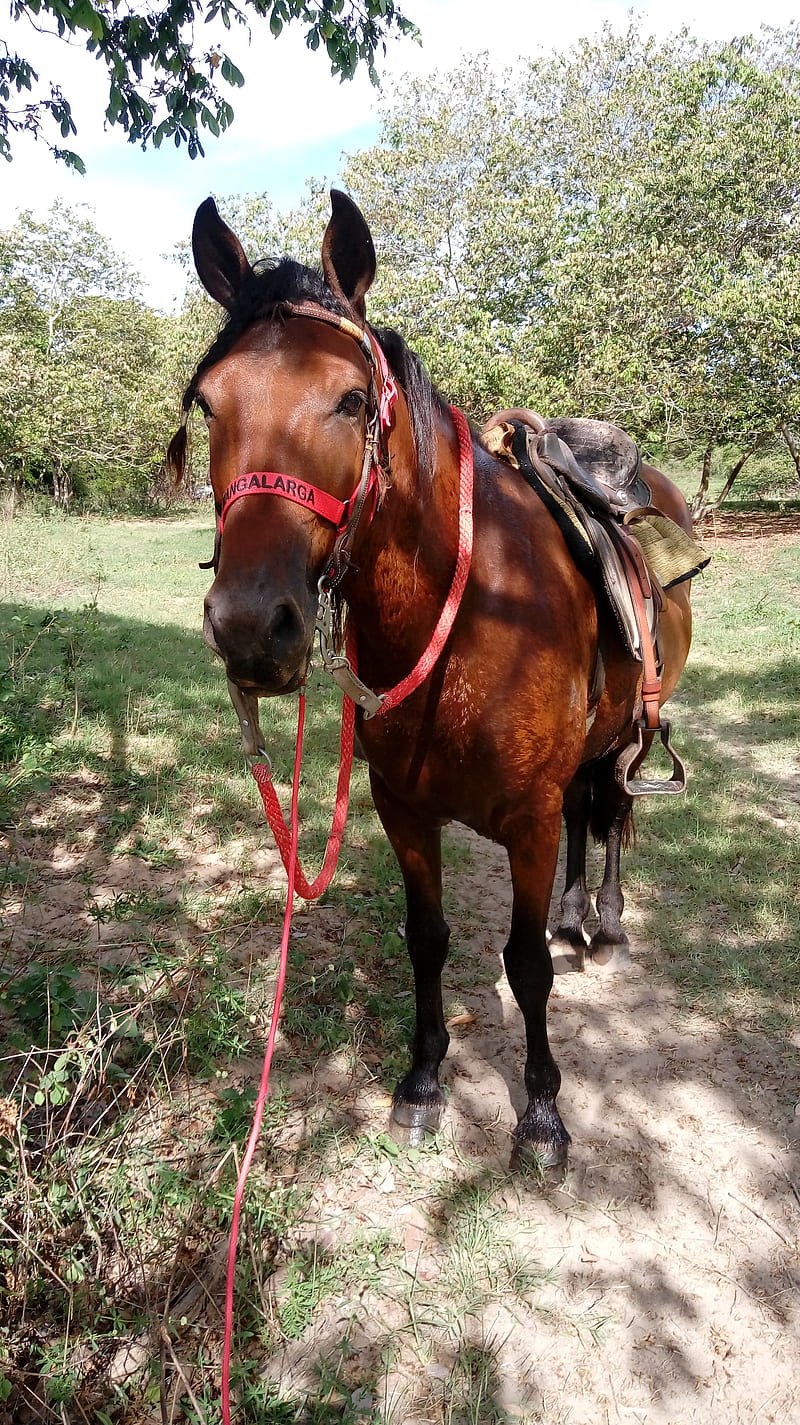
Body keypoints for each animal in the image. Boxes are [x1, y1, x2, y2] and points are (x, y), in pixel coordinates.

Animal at [168, 192, 693, 1168]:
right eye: (209, 404)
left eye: (350, 399)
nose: (252, 626)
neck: (473, 611)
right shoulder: (403, 809)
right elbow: (428, 939)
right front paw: (422, 1080)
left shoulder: (525, 818)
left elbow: (525, 965)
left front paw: (542, 1113)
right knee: (586, 810)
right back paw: (574, 908)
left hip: (627, 732)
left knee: (607, 810)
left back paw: (603, 918)